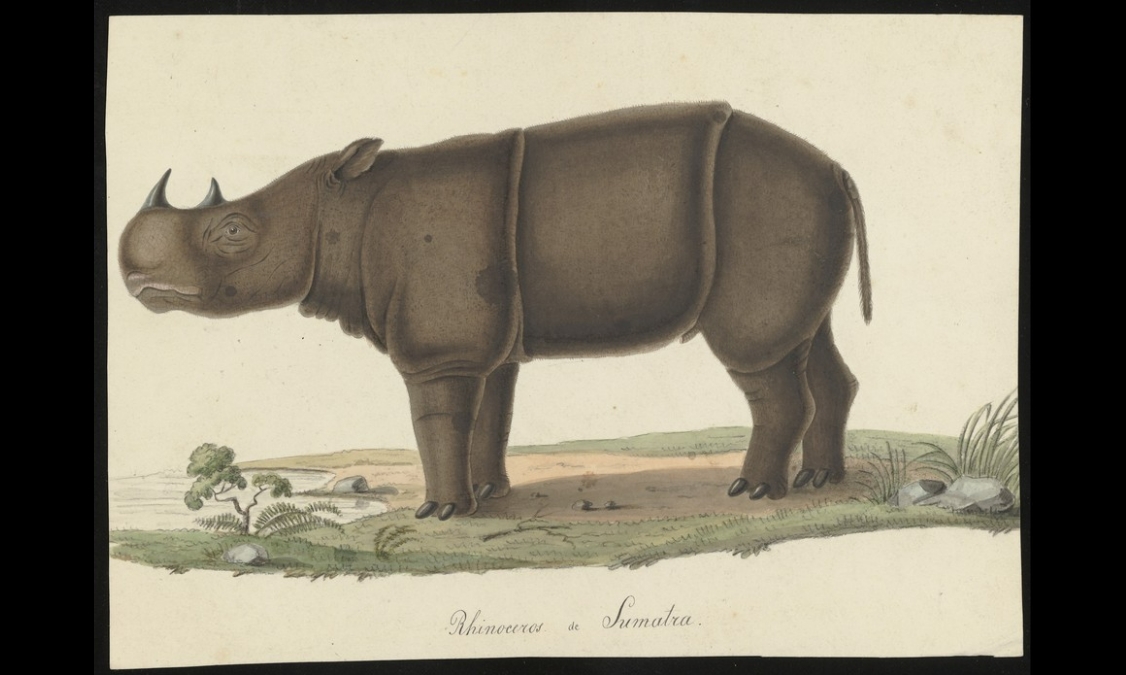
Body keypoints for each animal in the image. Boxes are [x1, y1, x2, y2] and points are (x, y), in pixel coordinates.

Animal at [119, 102, 872, 520]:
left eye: (234, 232)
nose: (134, 275)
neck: (341, 211)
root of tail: (839, 169)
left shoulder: (437, 348)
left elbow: (435, 420)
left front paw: (441, 511)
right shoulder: (487, 342)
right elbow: (488, 416)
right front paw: (489, 494)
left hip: (771, 202)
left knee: (760, 358)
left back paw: (752, 494)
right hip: (800, 204)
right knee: (811, 342)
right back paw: (818, 481)